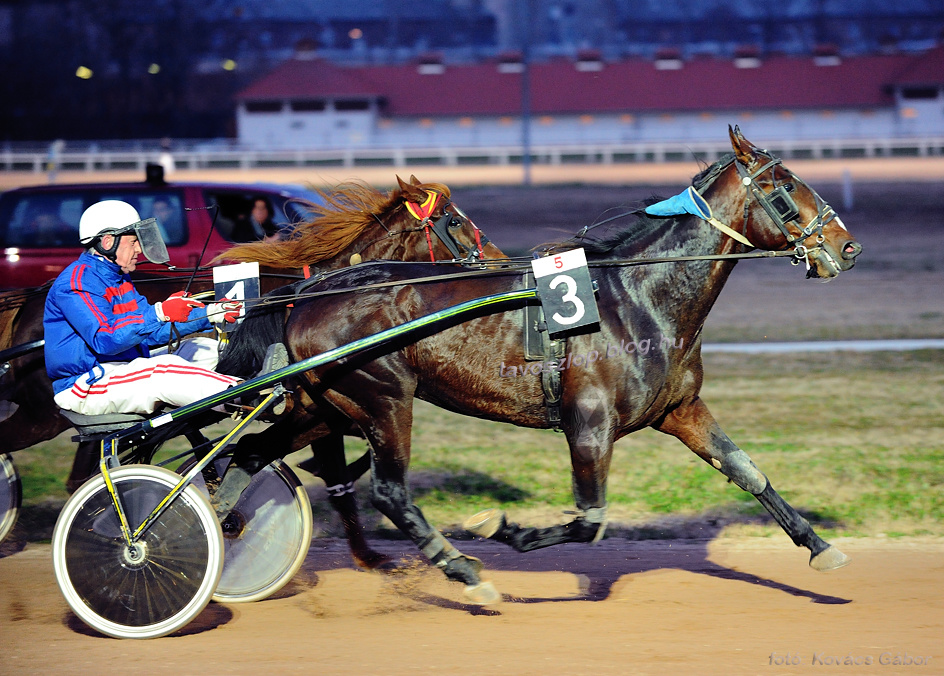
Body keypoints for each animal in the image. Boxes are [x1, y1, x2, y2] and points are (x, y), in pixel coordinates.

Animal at [1, 174, 508, 572]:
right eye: (455, 221)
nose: (501, 261)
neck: (312, 291)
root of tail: (30, 302)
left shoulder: (325, 400)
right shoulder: (327, 392)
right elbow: (338, 470)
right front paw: (369, 553)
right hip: (48, 411)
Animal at [219, 127, 864, 604]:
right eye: (785, 186)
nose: (847, 245)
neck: (637, 296)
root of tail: (311, 292)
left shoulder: (679, 408)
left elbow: (747, 471)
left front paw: (819, 547)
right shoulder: (589, 421)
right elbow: (590, 519)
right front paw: (502, 528)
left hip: (327, 405)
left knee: (249, 452)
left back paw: (227, 531)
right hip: (382, 398)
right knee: (390, 492)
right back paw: (464, 573)